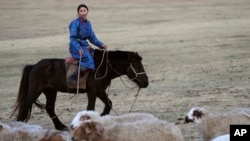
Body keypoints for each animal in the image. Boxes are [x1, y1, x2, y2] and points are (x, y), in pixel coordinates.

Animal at [11, 49, 148, 131]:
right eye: (137, 66)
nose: (146, 82)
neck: (102, 67)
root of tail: (34, 66)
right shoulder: (93, 91)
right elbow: (91, 107)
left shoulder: (100, 91)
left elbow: (108, 104)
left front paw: (101, 117)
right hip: (35, 90)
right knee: (25, 107)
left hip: (50, 91)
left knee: (49, 108)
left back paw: (61, 126)